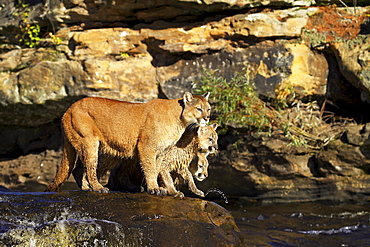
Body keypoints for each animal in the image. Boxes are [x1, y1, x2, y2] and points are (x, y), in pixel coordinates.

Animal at [44, 91, 210, 194]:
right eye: (199, 108)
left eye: (208, 109)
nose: (207, 118)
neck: (179, 119)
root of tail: (68, 109)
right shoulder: (146, 146)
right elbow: (150, 168)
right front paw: (154, 188)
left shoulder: (162, 151)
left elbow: (157, 168)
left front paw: (158, 188)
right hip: (89, 143)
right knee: (90, 167)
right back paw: (98, 187)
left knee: (78, 168)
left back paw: (86, 188)